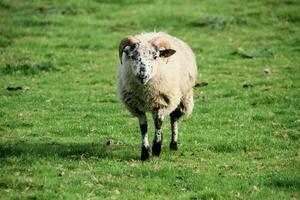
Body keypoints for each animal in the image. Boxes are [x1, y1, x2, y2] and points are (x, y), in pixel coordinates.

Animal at [118, 32, 198, 161]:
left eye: (155, 56)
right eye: (133, 56)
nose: (142, 75)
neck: (145, 92)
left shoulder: (162, 102)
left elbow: (158, 124)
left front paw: (156, 150)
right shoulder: (137, 107)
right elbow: (144, 127)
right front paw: (145, 153)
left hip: (182, 96)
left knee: (174, 118)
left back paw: (173, 144)